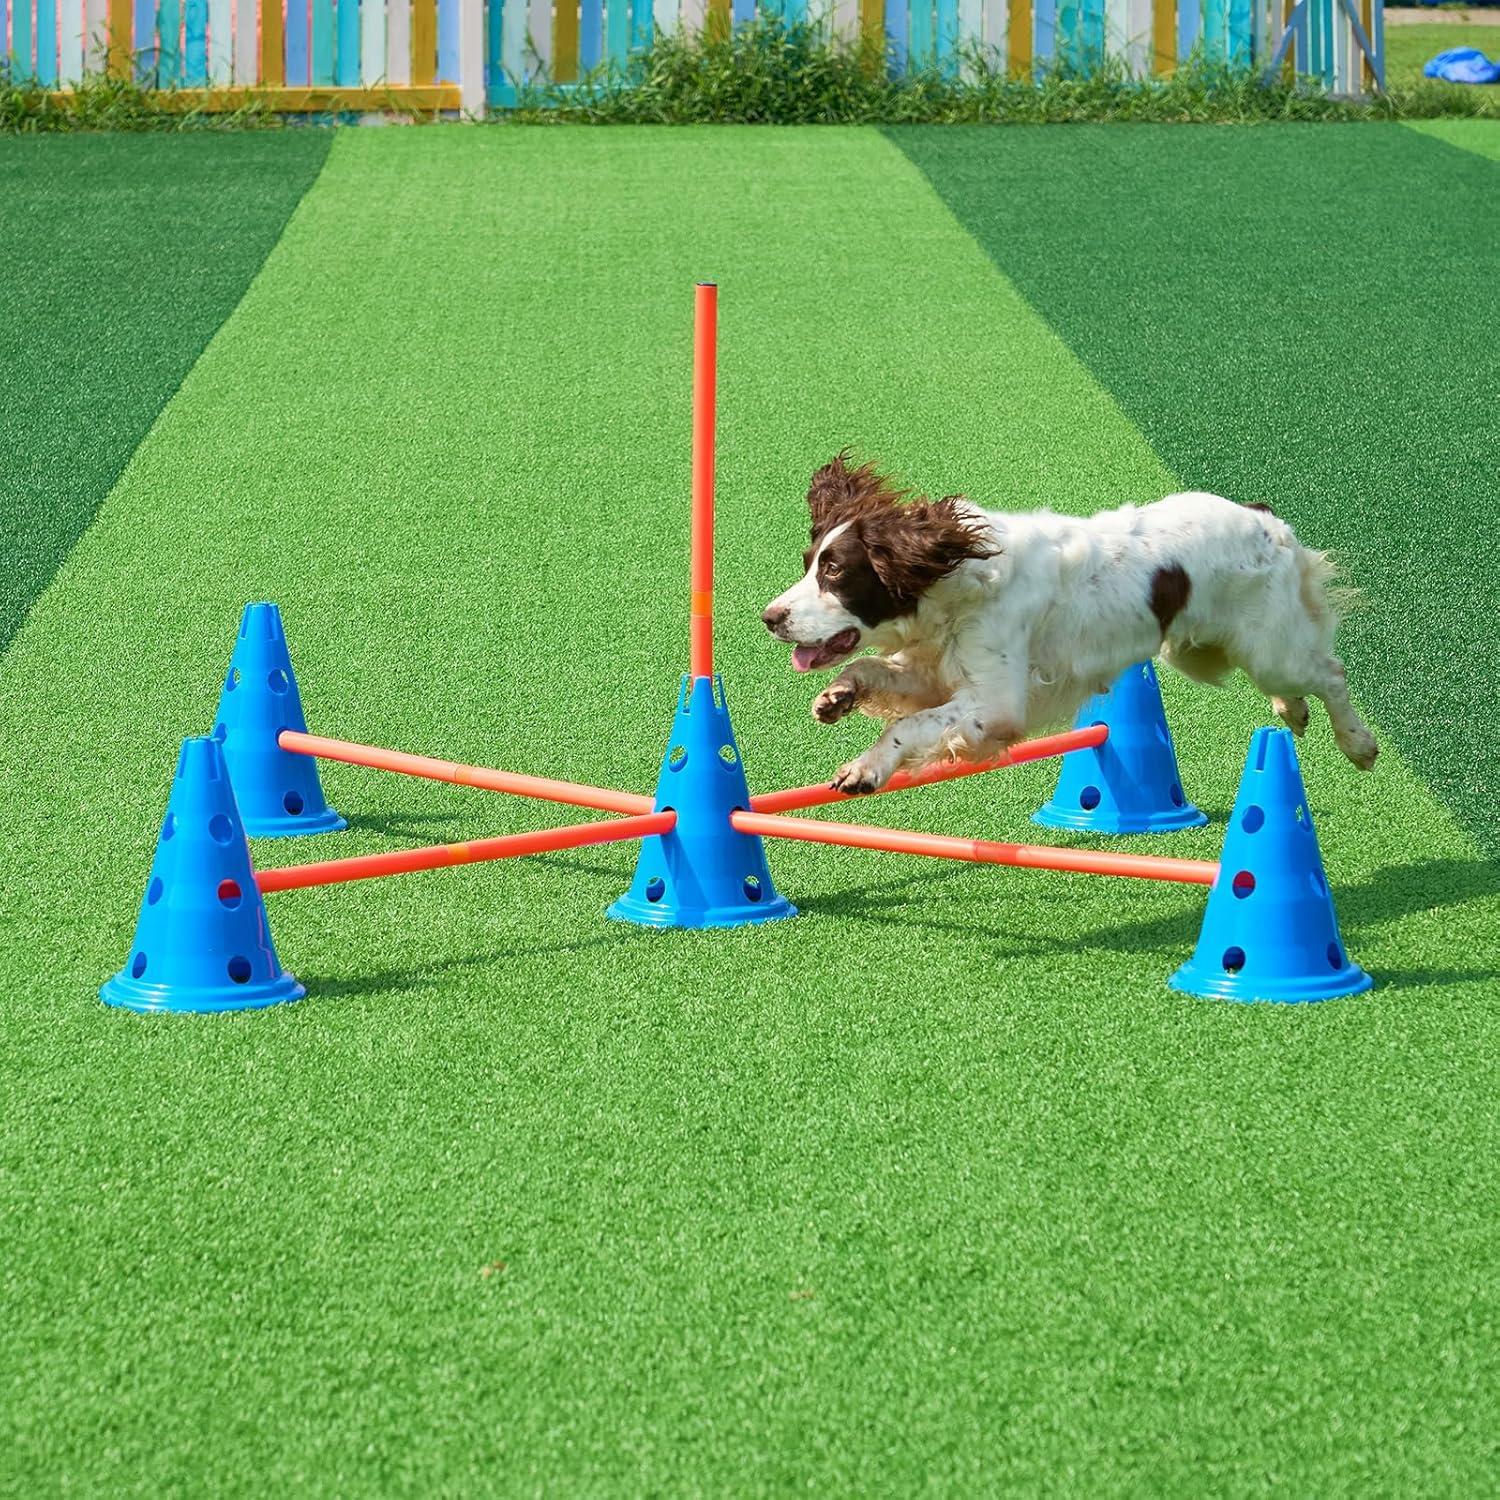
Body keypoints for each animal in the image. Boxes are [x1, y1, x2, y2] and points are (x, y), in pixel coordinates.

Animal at [756, 450, 1374, 792]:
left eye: (836, 572)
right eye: (809, 563)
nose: (770, 617)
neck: (958, 579)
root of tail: (1263, 517)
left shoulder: (998, 702)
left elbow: (909, 726)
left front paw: (865, 770)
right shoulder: (935, 671)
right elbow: (872, 670)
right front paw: (837, 696)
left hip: (1269, 651)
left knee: (1330, 673)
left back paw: (1358, 743)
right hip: (1197, 651)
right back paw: (1292, 713)